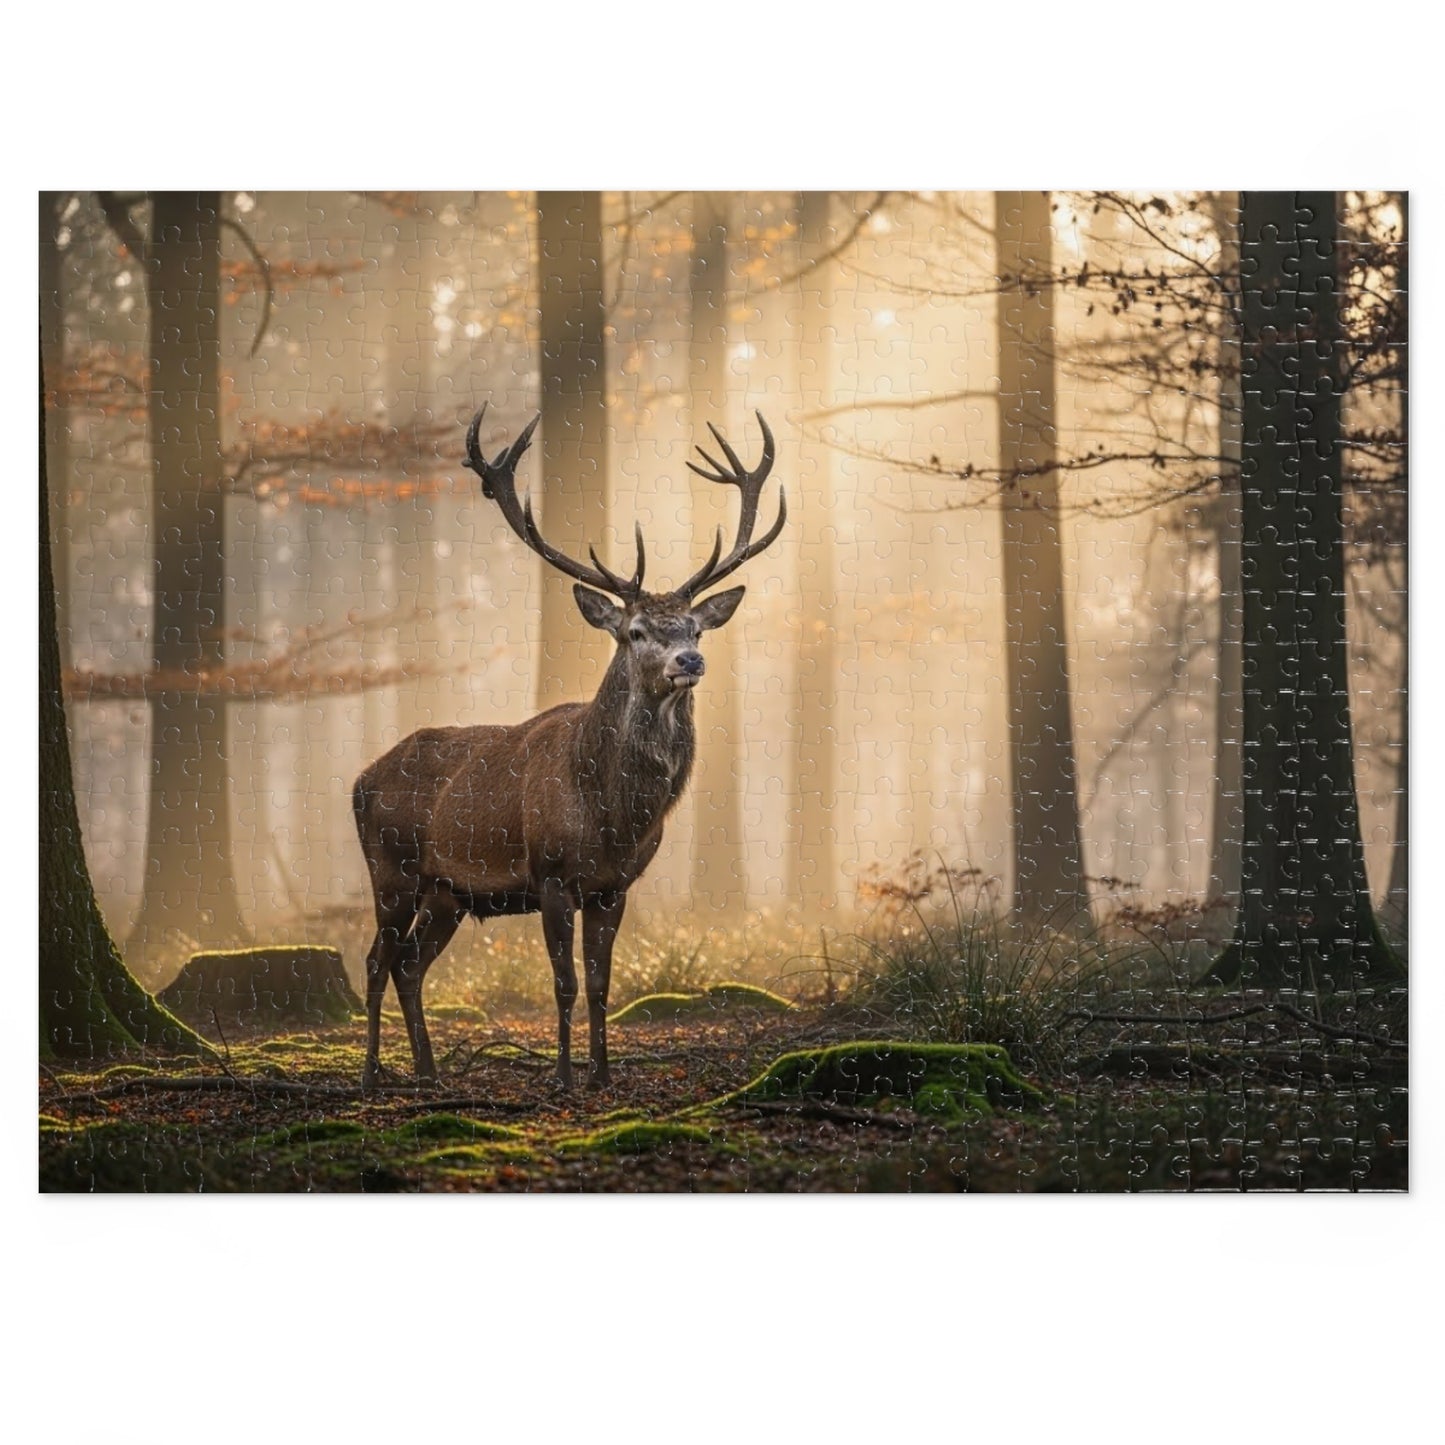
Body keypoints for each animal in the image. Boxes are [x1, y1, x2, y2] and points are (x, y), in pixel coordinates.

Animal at [353, 403, 786, 1091]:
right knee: (376, 961)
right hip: (391, 867)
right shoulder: (552, 873)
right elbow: (563, 983)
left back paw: (428, 1071)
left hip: (447, 892)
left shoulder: (615, 885)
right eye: (635, 631)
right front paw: (561, 1074)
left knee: (410, 964)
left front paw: (603, 1075)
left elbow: (603, 984)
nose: (689, 661)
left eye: (694, 627)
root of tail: (359, 780)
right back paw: (372, 1075)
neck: (614, 815)